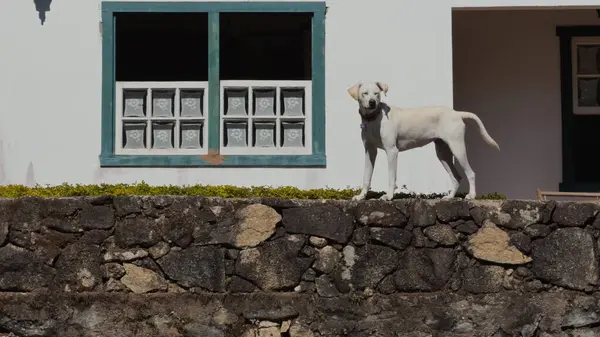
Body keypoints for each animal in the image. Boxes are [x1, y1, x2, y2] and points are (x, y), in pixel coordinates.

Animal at [346, 81, 496, 201]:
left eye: (376, 94)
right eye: (365, 93)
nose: (372, 102)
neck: (374, 119)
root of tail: (456, 113)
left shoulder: (392, 151)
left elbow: (391, 177)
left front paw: (388, 196)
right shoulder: (369, 151)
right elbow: (366, 177)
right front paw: (361, 196)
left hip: (457, 148)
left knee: (471, 173)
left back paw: (471, 196)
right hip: (443, 153)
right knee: (456, 177)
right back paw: (450, 197)